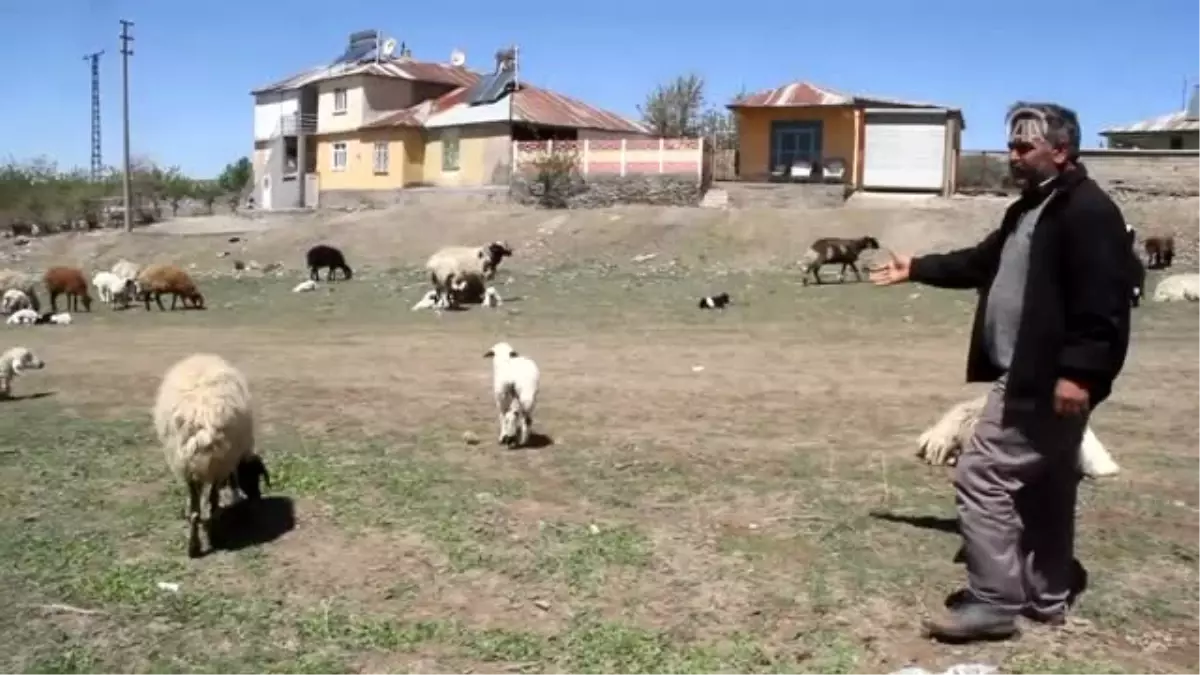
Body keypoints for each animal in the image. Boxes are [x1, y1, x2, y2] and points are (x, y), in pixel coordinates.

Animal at [153, 353, 271, 557]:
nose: (256, 498)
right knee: (210, 506)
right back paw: (210, 537)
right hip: (214, 464)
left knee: (198, 511)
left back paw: (194, 546)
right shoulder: (227, 464)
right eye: (252, 475)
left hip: (189, 464)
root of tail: (202, 421)